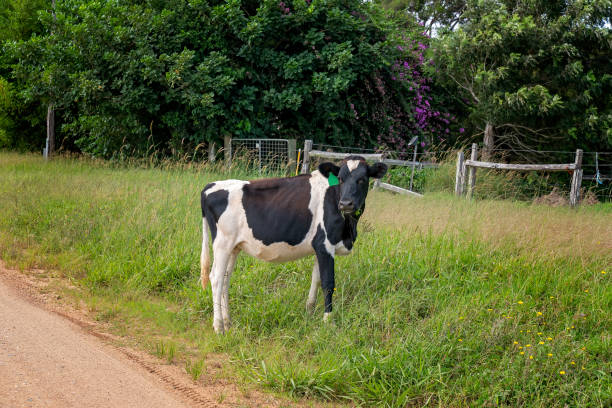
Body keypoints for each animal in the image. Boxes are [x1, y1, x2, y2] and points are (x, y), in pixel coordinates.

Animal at [200, 155, 388, 334]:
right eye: (340, 178)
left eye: (362, 179)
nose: (346, 203)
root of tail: (210, 186)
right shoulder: (325, 244)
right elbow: (328, 283)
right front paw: (328, 321)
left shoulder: (319, 248)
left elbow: (316, 279)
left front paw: (309, 313)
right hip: (222, 244)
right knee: (216, 278)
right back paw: (219, 327)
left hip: (234, 247)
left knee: (225, 280)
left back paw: (228, 322)